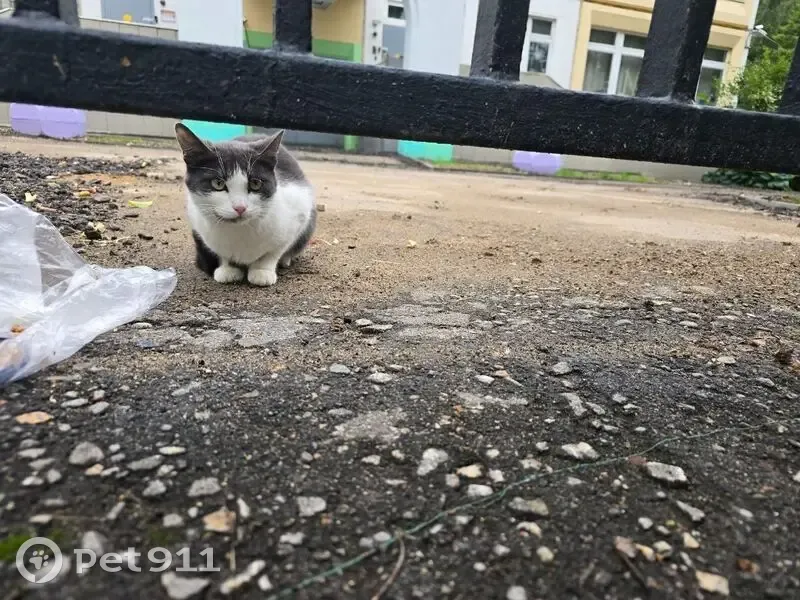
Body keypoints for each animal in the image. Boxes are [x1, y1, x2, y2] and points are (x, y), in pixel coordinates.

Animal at [174, 123, 316, 286]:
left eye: (255, 183)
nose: (240, 207)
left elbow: (274, 252)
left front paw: (262, 271)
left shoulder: (298, 211)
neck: (240, 231)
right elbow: (220, 253)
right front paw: (227, 268)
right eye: (218, 183)